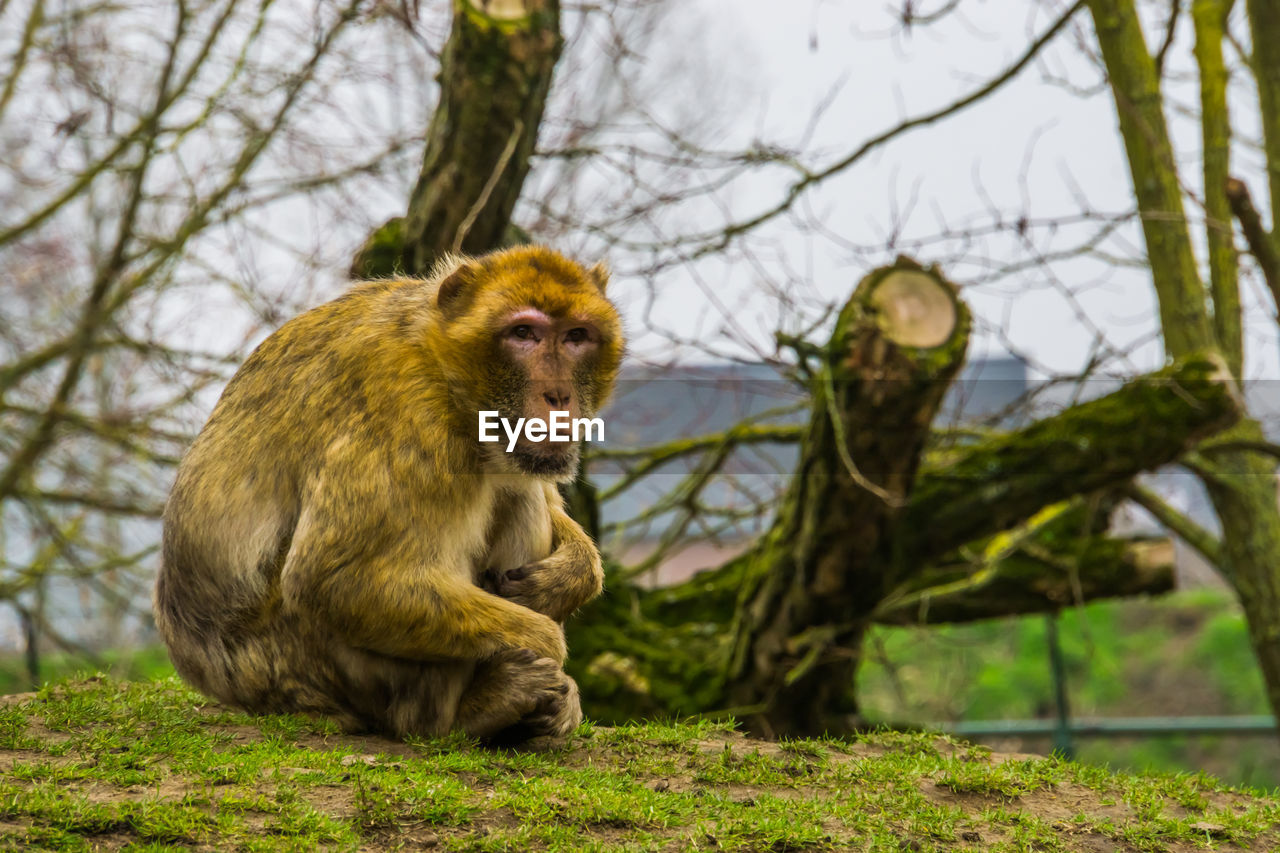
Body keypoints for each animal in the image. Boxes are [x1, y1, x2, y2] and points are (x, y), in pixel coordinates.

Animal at [154, 244, 624, 737]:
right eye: (523, 333)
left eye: (576, 336)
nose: (558, 395)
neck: (445, 371)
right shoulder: (409, 413)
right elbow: (334, 579)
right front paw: (545, 640)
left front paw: (572, 577)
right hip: (324, 670)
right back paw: (475, 709)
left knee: (518, 492)